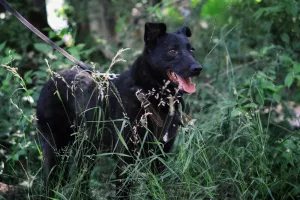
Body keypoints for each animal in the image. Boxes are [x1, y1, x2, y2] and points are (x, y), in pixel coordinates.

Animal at [37, 22, 202, 198]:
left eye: (191, 50)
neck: (146, 94)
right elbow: (123, 191)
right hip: (54, 150)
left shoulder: (161, 155)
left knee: (81, 180)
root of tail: (52, 78)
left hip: (88, 149)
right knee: (49, 184)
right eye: (172, 51)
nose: (198, 68)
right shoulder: (126, 157)